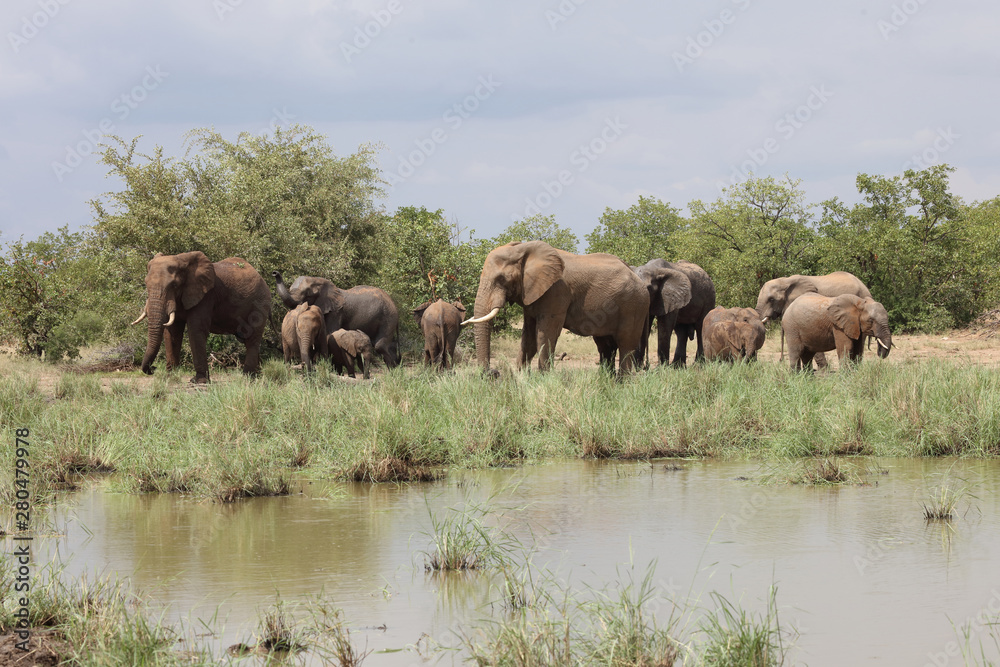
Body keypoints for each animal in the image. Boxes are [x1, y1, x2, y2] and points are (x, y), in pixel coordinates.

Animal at [135, 252, 274, 386]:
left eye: (174, 285)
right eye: (146, 284)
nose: (153, 368)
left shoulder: (206, 297)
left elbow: (196, 330)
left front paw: (198, 381)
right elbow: (172, 332)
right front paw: (170, 377)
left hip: (260, 305)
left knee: (252, 339)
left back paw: (247, 378)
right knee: (245, 338)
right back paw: (257, 376)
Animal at [274, 272, 402, 370]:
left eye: (307, 294)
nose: (275, 273)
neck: (319, 280)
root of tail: (395, 305)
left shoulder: (336, 312)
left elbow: (330, 333)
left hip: (389, 316)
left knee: (380, 345)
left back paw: (394, 371)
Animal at [464, 240, 652, 376]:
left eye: (502, 279)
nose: (492, 373)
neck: (523, 249)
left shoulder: (556, 291)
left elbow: (545, 334)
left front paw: (543, 378)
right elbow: (528, 337)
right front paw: (520, 376)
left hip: (634, 306)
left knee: (626, 344)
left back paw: (622, 382)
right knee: (605, 345)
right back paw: (607, 381)